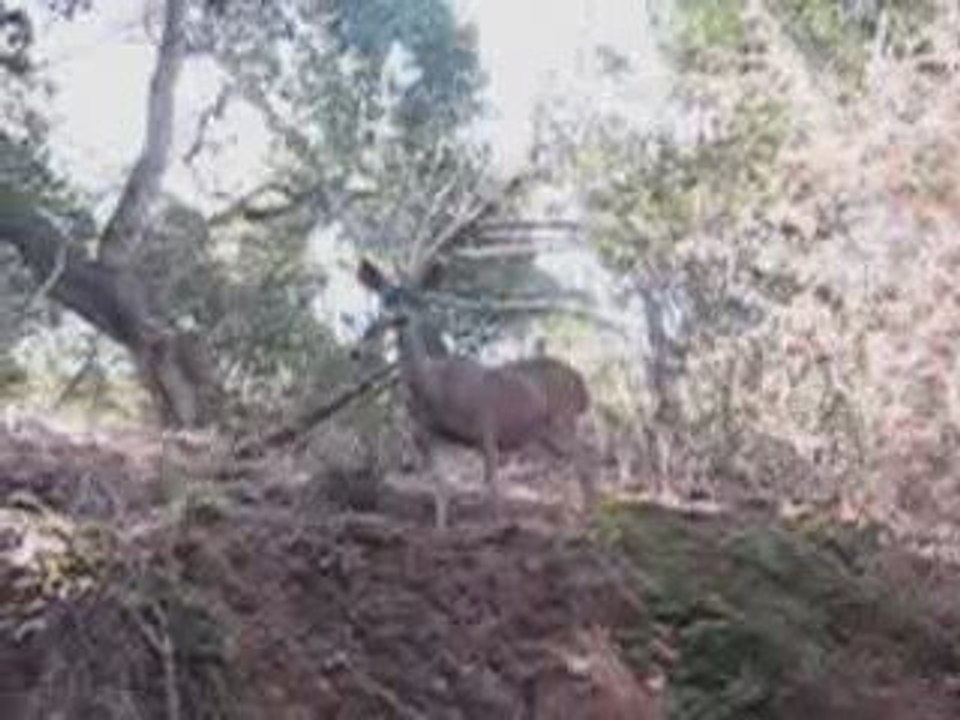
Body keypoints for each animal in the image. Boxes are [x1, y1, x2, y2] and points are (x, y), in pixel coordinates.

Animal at [354, 257, 596, 529]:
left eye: (413, 299)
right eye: (384, 298)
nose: (397, 317)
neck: (434, 388)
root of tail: (582, 387)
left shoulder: (486, 425)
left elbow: (491, 485)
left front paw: (498, 526)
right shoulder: (429, 434)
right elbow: (441, 485)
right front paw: (441, 528)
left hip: (563, 419)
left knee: (585, 461)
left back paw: (589, 517)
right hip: (543, 435)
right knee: (573, 464)